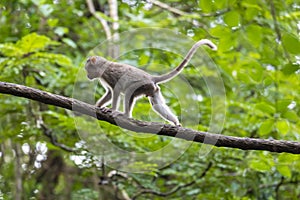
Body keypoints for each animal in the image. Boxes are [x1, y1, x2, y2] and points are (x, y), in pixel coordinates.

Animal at [85, 38, 218, 125]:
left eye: (87, 69)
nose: (87, 75)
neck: (103, 66)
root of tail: (151, 78)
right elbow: (109, 93)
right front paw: (97, 106)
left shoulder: (108, 74)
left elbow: (116, 90)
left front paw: (112, 110)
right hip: (152, 88)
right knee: (157, 105)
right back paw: (175, 122)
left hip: (143, 85)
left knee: (128, 92)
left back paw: (125, 115)